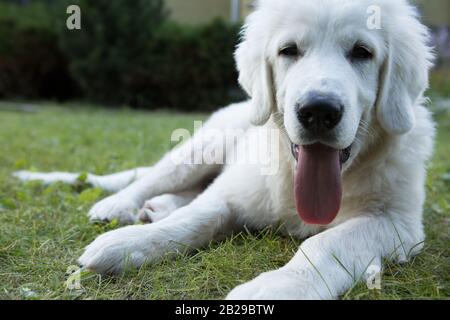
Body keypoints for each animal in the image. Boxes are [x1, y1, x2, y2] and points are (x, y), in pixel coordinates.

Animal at [15, 0, 434, 300]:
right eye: (289, 51)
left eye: (362, 52)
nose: (318, 111)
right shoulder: (234, 191)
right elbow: (198, 215)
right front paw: (129, 243)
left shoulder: (396, 222)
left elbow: (329, 242)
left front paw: (280, 286)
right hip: (203, 146)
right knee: (151, 180)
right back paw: (123, 206)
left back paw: (159, 206)